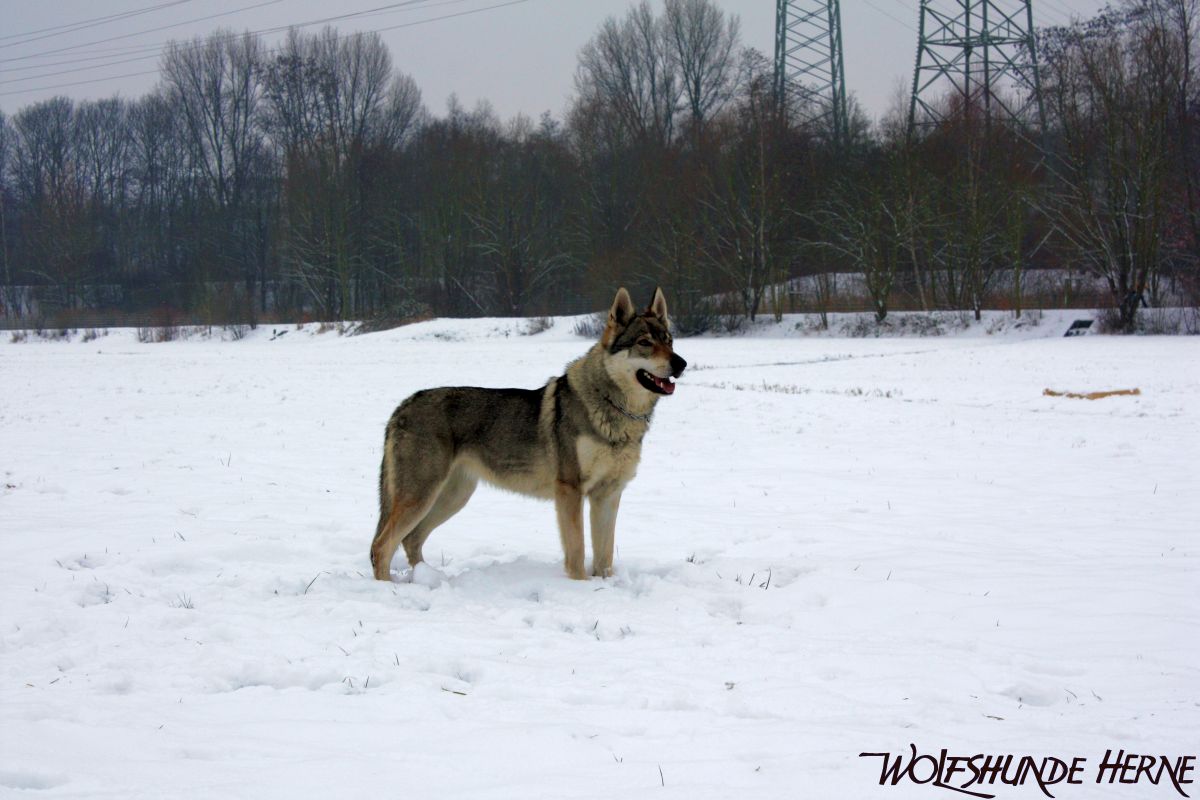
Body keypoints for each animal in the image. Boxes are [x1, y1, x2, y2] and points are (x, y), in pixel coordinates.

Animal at [370, 287, 686, 581]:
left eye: (669, 340)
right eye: (644, 343)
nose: (681, 363)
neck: (614, 409)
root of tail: (402, 406)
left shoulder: (608, 494)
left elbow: (604, 557)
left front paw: (604, 586)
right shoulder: (570, 491)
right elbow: (578, 551)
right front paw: (580, 587)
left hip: (452, 497)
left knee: (410, 540)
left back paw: (426, 578)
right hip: (422, 496)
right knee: (382, 546)